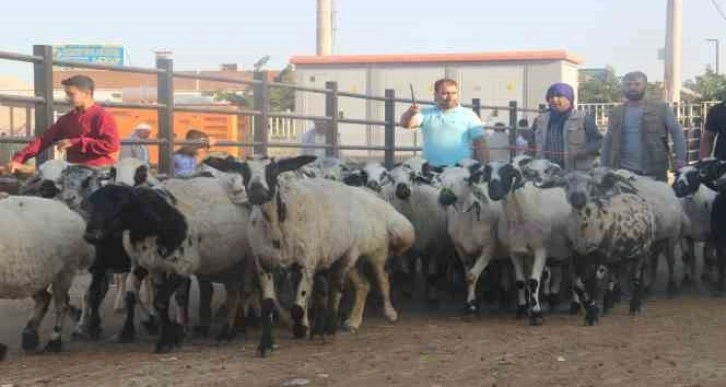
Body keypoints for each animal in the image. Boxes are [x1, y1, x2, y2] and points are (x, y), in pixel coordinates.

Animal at [0, 196, 94, 360]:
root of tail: (69, 210)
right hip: (38, 275)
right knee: (44, 299)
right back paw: (29, 336)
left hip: (65, 270)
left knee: (61, 306)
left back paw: (53, 342)